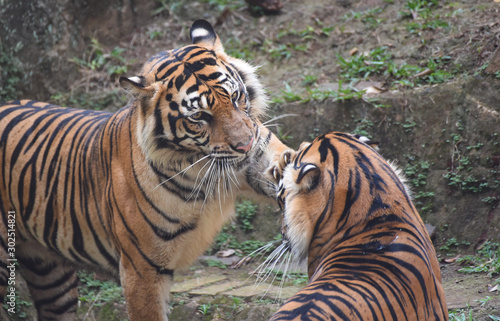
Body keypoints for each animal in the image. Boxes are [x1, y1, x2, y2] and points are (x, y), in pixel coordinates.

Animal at [0, 20, 288, 320]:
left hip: (50, 273)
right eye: (199, 116)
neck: (203, 167)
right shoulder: (141, 271)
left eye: (235, 96)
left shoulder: (261, 160)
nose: (245, 146)